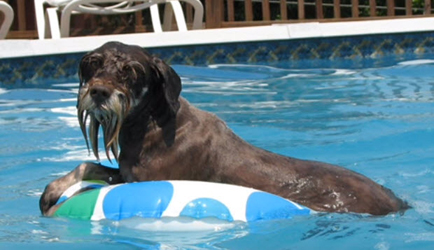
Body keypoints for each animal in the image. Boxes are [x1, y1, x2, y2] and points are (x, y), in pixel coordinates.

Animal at [39, 41, 408, 217]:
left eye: (131, 70)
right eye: (93, 63)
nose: (98, 92)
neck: (152, 124)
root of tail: (401, 203)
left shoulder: (144, 181)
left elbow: (91, 187)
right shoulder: (127, 173)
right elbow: (89, 166)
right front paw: (52, 192)